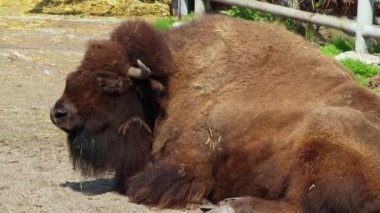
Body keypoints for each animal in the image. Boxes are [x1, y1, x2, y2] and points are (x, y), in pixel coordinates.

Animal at [51, 14, 380, 211]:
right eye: (76, 71)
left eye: (109, 82)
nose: (59, 113)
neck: (166, 88)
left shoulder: (192, 158)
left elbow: (146, 183)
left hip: (324, 137)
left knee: (302, 205)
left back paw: (233, 203)